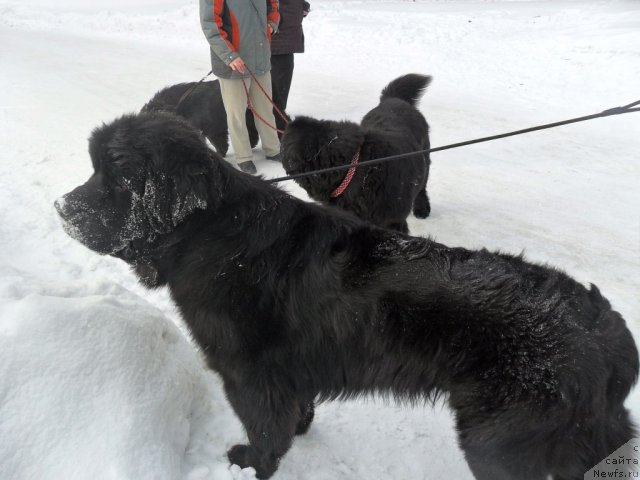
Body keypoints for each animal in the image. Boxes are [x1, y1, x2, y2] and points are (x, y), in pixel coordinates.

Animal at [56, 110, 640, 478]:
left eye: (117, 177)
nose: (63, 207)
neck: (211, 233)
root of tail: (609, 335)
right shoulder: (286, 372)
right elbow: (294, 411)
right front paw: (299, 432)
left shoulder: (248, 371)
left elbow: (265, 427)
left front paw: (254, 463)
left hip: (500, 442)